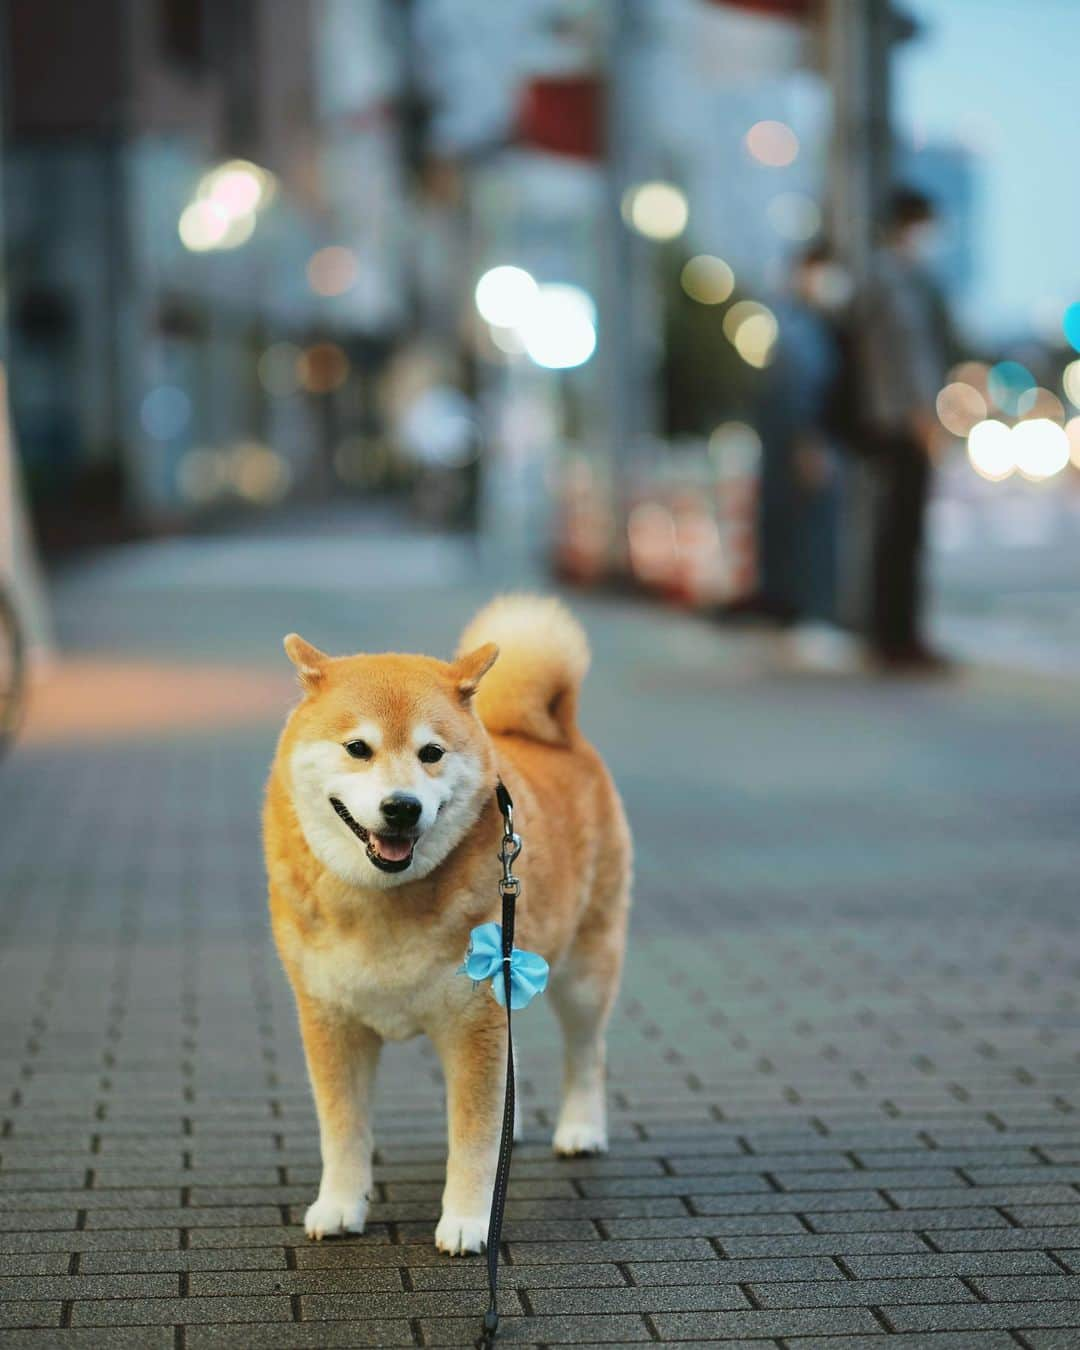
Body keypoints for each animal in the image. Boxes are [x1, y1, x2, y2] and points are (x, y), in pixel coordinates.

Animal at [263, 596, 631, 1247]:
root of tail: (559, 733)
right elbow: (343, 1129)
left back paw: (582, 1129)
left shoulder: (470, 1024)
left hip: (585, 970)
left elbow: (473, 1138)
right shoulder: (330, 1021)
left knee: (587, 1051)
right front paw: (339, 1204)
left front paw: (466, 1219)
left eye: (430, 753)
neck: (382, 900)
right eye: (357, 748)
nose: (401, 807)